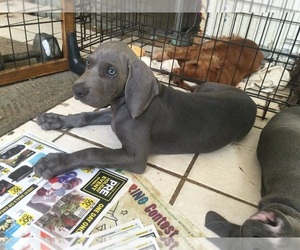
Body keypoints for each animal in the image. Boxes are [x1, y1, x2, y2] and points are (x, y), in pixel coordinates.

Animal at [34, 41, 256, 180]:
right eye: (88, 63)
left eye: (111, 71)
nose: (77, 90)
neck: (121, 105)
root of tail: (252, 102)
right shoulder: (113, 115)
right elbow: (86, 115)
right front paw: (54, 120)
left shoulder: (135, 157)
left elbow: (92, 151)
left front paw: (56, 162)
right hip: (206, 88)